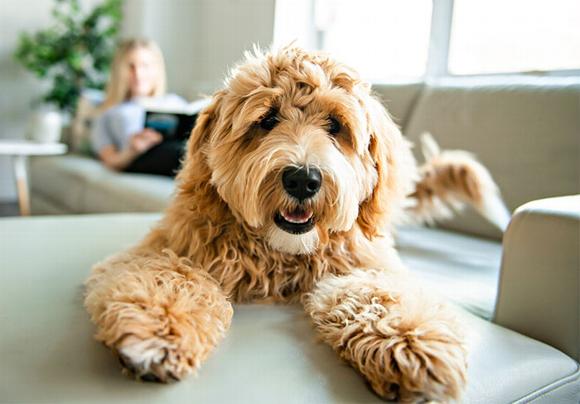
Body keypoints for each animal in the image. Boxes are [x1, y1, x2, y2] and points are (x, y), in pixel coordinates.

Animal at [85, 46, 508, 400]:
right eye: (267, 119)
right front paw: (159, 331)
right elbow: (171, 276)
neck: (281, 254)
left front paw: (411, 344)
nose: (303, 179)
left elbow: (378, 294)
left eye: (335, 125)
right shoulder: (165, 248)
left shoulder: (365, 265)